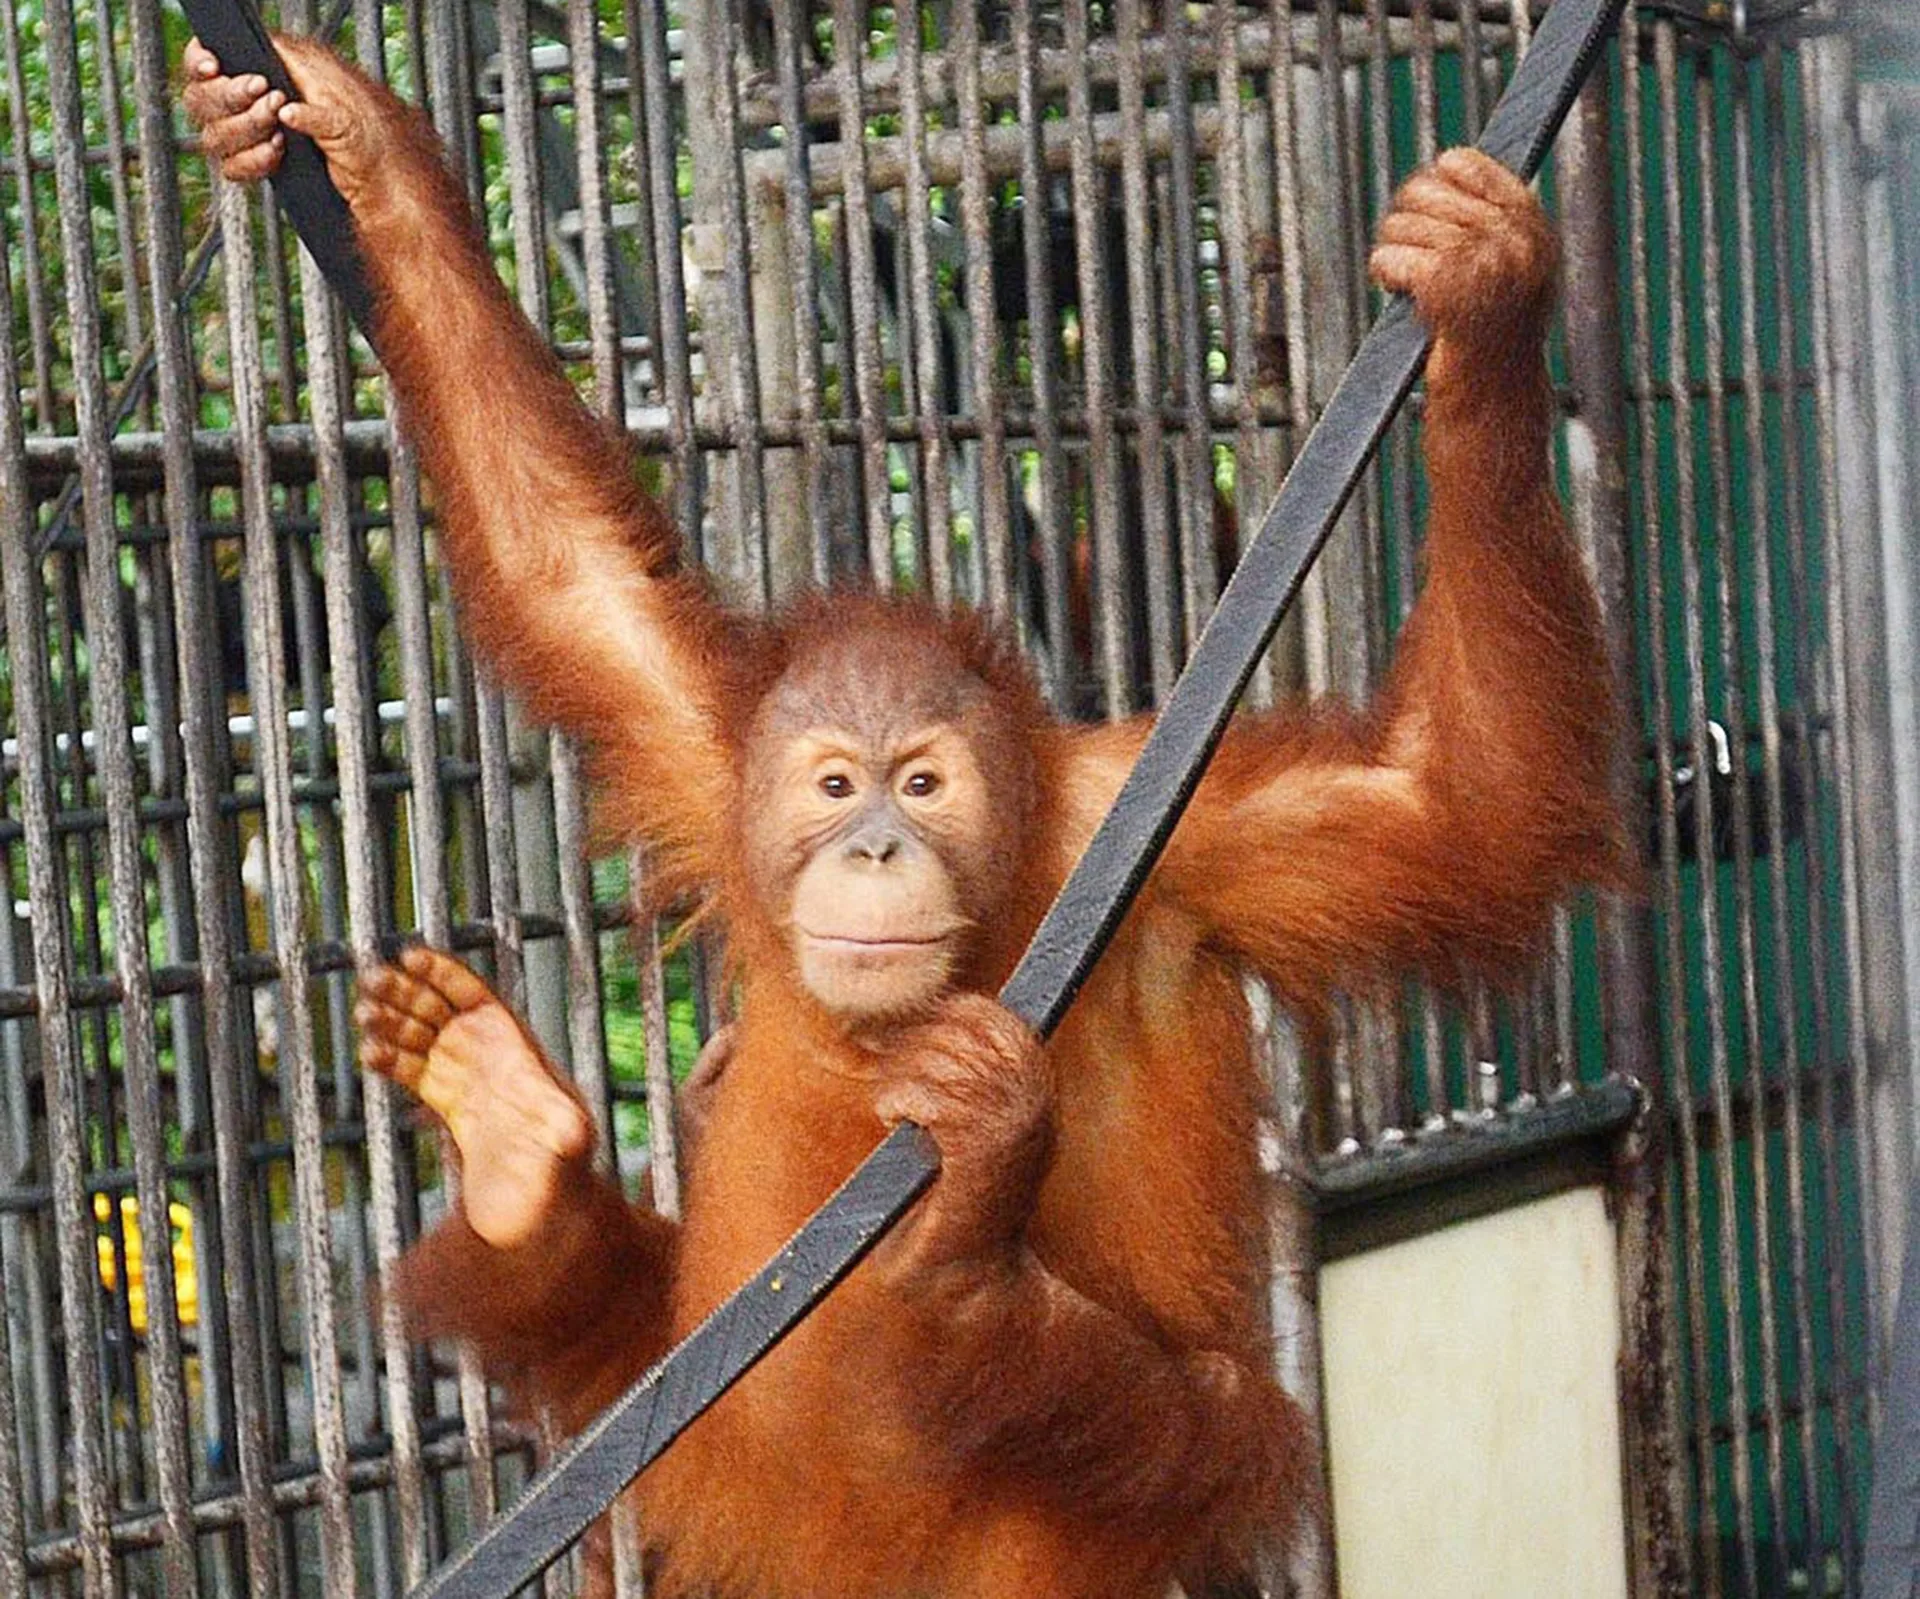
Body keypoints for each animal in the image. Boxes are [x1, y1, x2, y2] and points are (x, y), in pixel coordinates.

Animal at [186, 33, 1626, 1599]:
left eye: (924, 783)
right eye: (834, 785)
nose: (876, 845)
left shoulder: (1188, 836)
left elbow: (1456, 805)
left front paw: (1481, 298)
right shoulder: (719, 749)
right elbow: (566, 566)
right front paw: (351, 133)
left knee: (1152, 1424)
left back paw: (968, 1268)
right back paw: (516, 1153)